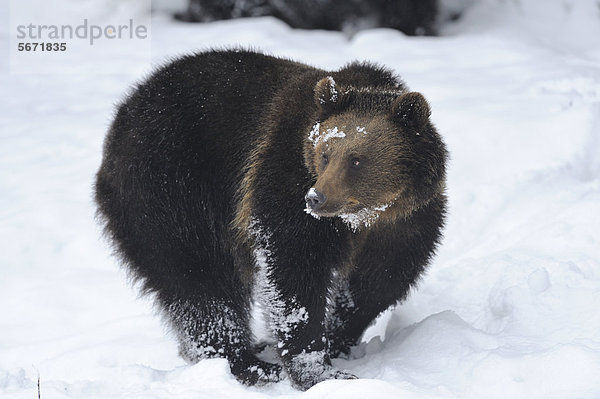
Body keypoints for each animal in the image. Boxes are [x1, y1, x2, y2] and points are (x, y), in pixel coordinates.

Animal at [95, 49, 446, 390]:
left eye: (356, 160)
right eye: (325, 154)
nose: (316, 198)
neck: (363, 217)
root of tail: (125, 111)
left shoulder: (406, 223)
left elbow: (378, 282)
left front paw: (336, 340)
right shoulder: (283, 179)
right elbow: (293, 271)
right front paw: (317, 370)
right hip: (169, 186)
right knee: (199, 278)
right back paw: (247, 363)